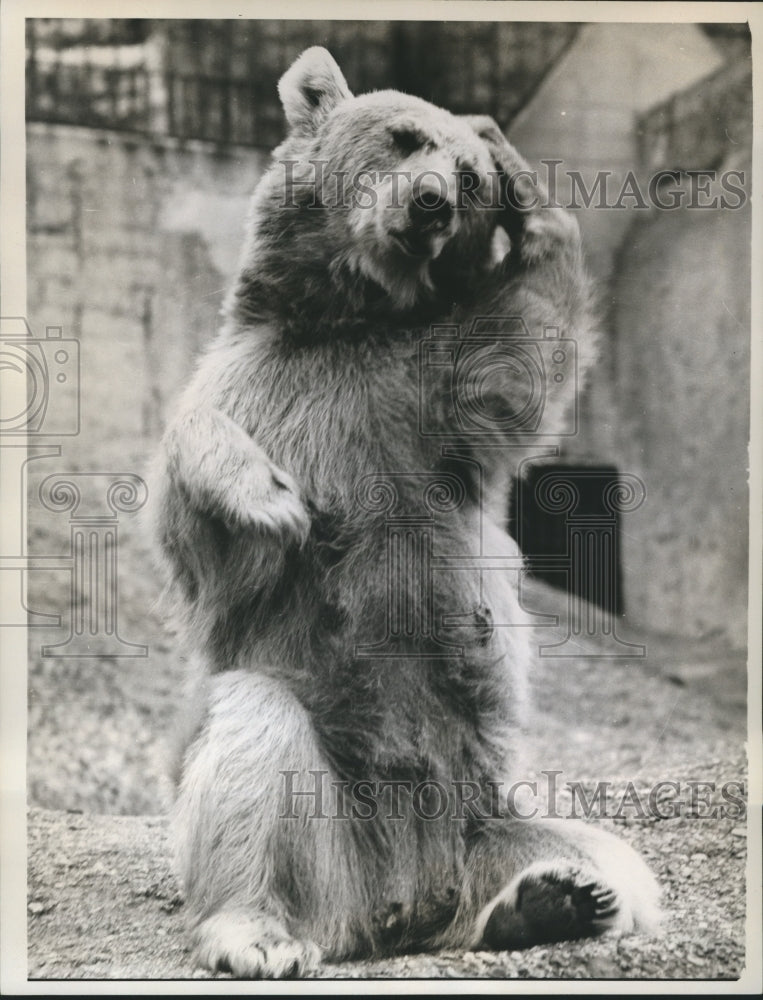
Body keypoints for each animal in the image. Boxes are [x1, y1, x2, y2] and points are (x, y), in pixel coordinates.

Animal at [153, 46, 661, 978]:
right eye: (402, 136)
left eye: (468, 177)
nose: (431, 202)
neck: (356, 320)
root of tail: (407, 900)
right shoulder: (265, 378)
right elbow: (196, 510)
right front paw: (269, 499)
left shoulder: (437, 388)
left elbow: (526, 353)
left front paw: (534, 200)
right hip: (330, 828)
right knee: (253, 740)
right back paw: (253, 932)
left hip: (489, 815)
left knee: (613, 857)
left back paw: (555, 900)